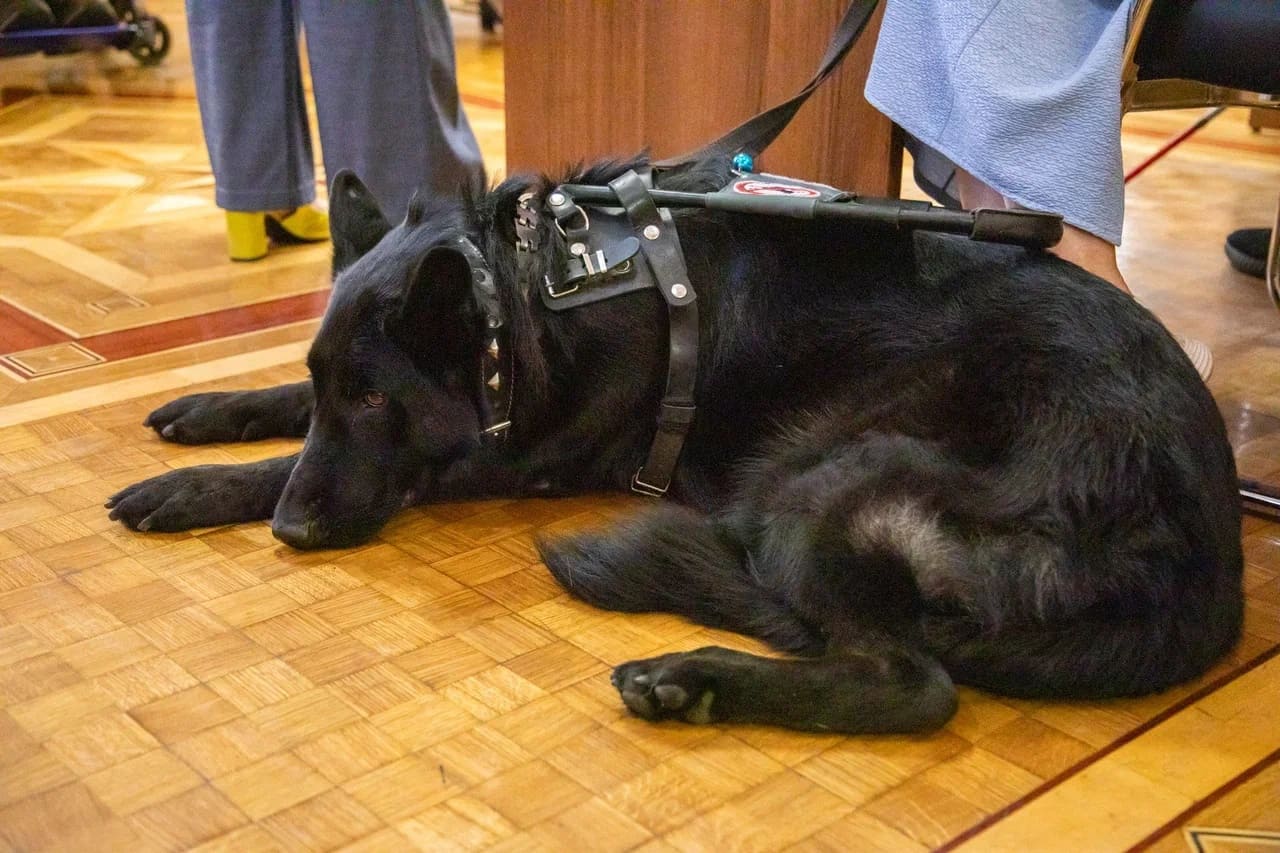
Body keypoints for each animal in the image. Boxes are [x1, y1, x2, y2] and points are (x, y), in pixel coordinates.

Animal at [106, 157, 1243, 734]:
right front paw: (210, 412)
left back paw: (691, 675)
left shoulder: (513, 454)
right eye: (325, 384)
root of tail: (1198, 579)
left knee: (909, 683)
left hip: (824, 482)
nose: (294, 531)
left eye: (379, 403)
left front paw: (211, 485)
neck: (524, 294)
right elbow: (276, 411)